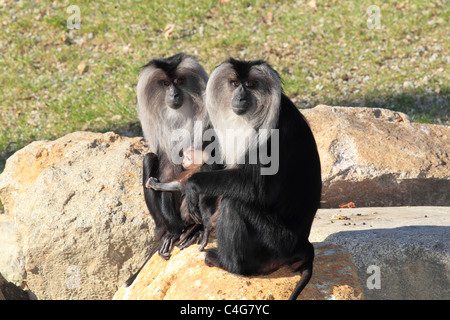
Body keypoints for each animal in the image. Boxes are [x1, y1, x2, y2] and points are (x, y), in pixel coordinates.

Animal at [185, 58, 322, 300]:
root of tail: (303, 246)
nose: (240, 97)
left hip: (276, 243)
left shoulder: (273, 133)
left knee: (234, 204)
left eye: (250, 84)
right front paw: (204, 210)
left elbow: (254, 188)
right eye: (234, 83)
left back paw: (228, 264)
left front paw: (193, 186)